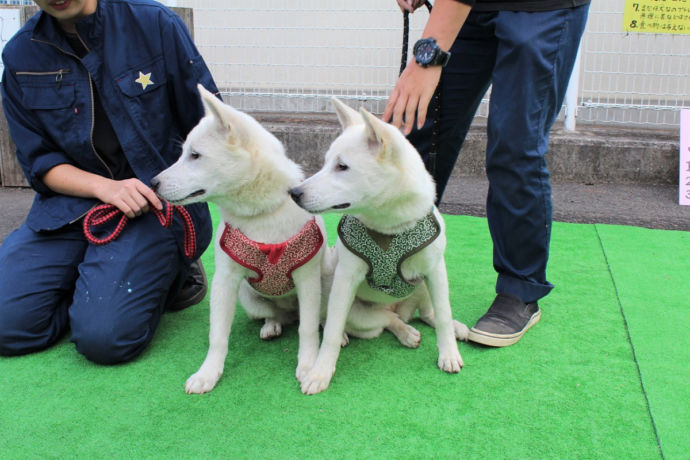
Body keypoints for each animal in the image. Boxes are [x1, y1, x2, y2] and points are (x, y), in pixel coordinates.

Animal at [153, 84, 328, 394]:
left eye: (195, 155)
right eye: (184, 153)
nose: (152, 183)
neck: (260, 215)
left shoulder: (307, 279)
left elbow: (307, 329)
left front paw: (308, 366)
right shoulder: (225, 280)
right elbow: (217, 335)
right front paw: (208, 373)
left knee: (309, 319)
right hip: (250, 299)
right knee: (277, 316)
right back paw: (272, 325)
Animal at [284, 98, 468, 396]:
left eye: (342, 167)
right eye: (325, 163)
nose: (294, 193)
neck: (389, 226)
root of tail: (397, 308)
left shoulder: (435, 271)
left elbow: (442, 313)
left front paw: (449, 352)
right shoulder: (346, 278)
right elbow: (331, 331)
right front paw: (321, 372)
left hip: (422, 288)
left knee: (427, 313)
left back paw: (451, 328)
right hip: (354, 308)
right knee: (381, 321)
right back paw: (398, 332)